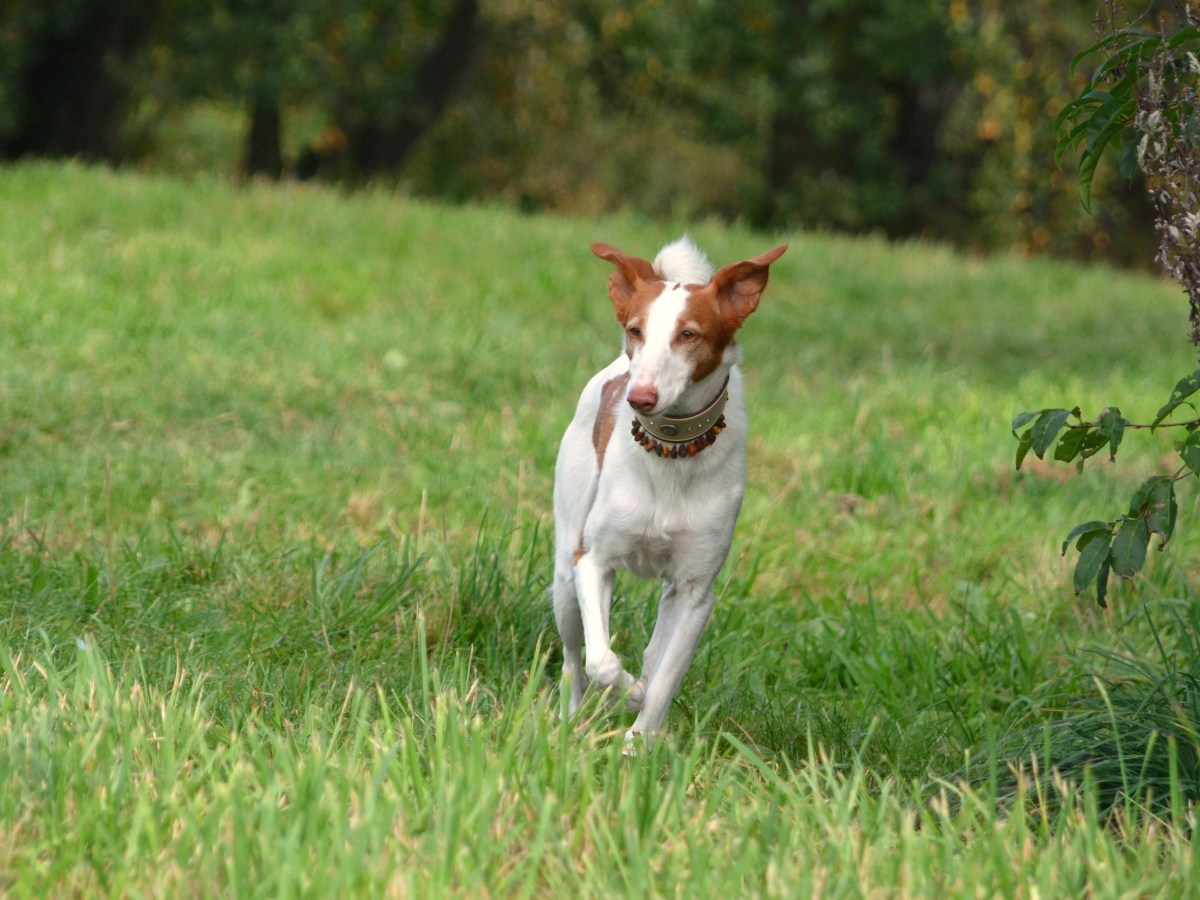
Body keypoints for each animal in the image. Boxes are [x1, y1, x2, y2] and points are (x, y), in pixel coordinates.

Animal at [552, 234, 787, 748]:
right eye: (636, 330)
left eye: (689, 335)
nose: (640, 398)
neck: (671, 451)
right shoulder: (592, 561)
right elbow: (601, 661)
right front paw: (627, 694)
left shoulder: (695, 592)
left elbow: (664, 680)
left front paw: (638, 744)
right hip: (563, 574)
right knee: (574, 661)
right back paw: (570, 721)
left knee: (652, 654)